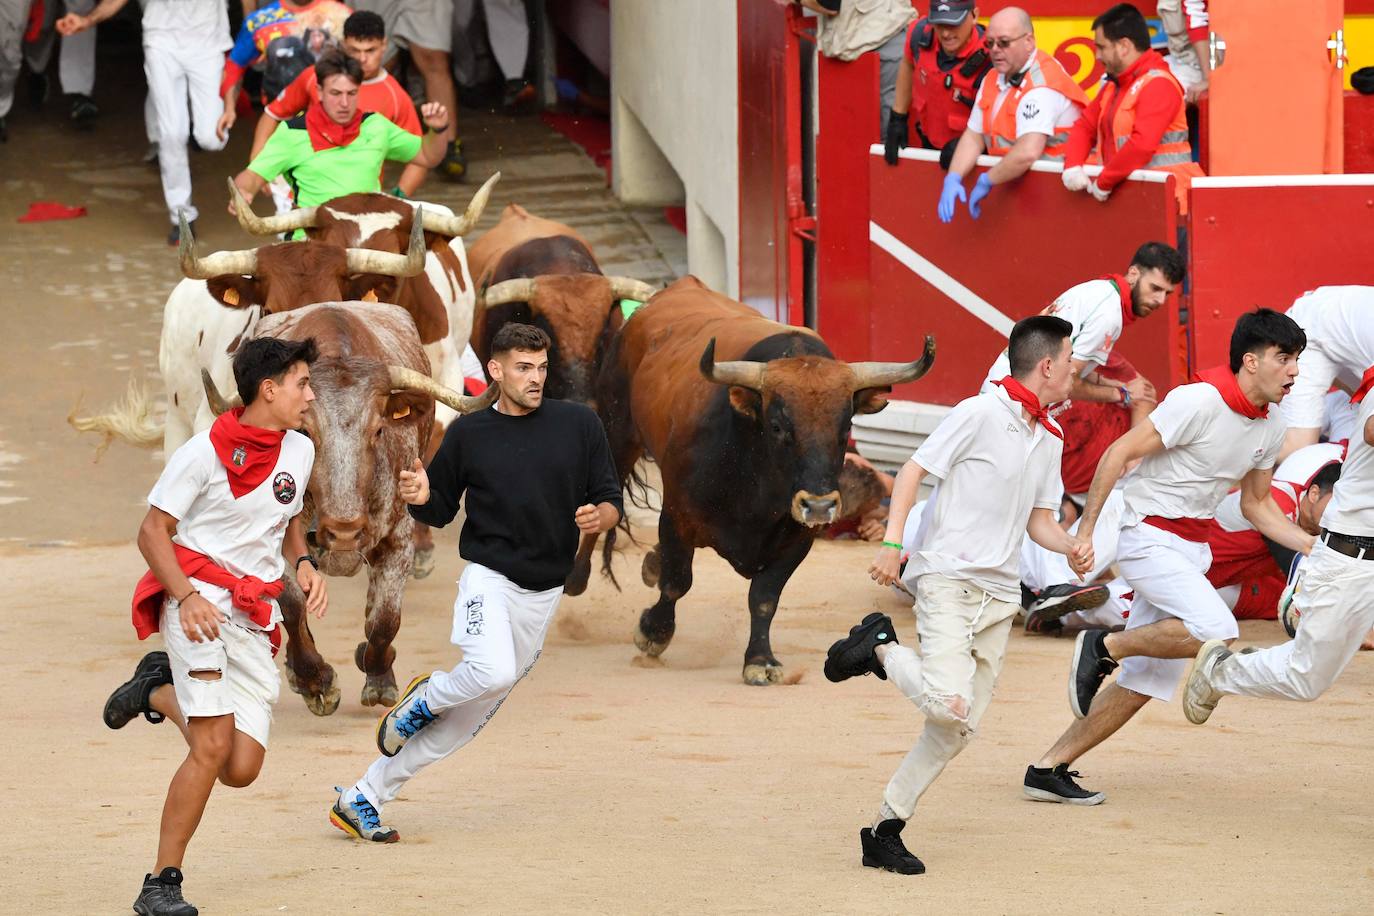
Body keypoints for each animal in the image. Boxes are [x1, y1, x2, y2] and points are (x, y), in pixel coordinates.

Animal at [566, 276, 934, 683]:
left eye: (846, 428)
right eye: (777, 426)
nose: (819, 505)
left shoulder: (798, 538)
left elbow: (764, 598)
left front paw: (760, 659)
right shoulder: (676, 516)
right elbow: (677, 582)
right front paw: (653, 633)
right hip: (617, 431)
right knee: (604, 502)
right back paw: (577, 577)